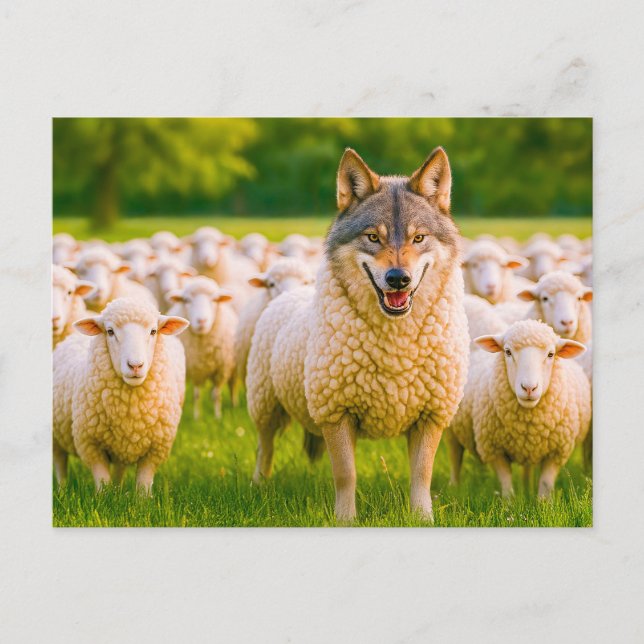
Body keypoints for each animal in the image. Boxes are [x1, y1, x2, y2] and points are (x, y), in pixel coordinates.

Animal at [52, 298, 189, 492]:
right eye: (110, 331)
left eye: (153, 331)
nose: (135, 365)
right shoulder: (91, 446)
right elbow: (102, 482)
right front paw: (104, 497)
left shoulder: (155, 450)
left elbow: (143, 486)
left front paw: (138, 500)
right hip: (56, 437)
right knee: (60, 464)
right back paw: (62, 490)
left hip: (121, 447)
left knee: (119, 469)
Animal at [166, 276, 238, 419]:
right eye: (187, 300)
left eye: (215, 300)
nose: (202, 321)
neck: (204, 349)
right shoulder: (195, 369)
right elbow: (196, 395)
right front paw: (196, 417)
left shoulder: (221, 371)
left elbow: (217, 395)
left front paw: (217, 416)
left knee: (232, 385)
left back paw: (234, 405)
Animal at [247, 147, 470, 521]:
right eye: (373, 237)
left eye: (418, 238)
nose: (398, 279)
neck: (396, 343)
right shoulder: (336, 412)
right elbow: (346, 474)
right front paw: (345, 521)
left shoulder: (430, 416)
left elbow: (421, 475)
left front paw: (421, 519)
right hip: (266, 408)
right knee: (265, 448)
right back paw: (259, 486)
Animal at [446, 320, 591, 497]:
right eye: (507, 352)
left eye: (551, 354)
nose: (529, 388)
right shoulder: (494, 450)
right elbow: (506, 485)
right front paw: (509, 502)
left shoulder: (557, 452)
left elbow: (545, 484)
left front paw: (543, 503)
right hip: (451, 430)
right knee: (455, 457)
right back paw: (454, 488)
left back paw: (527, 488)